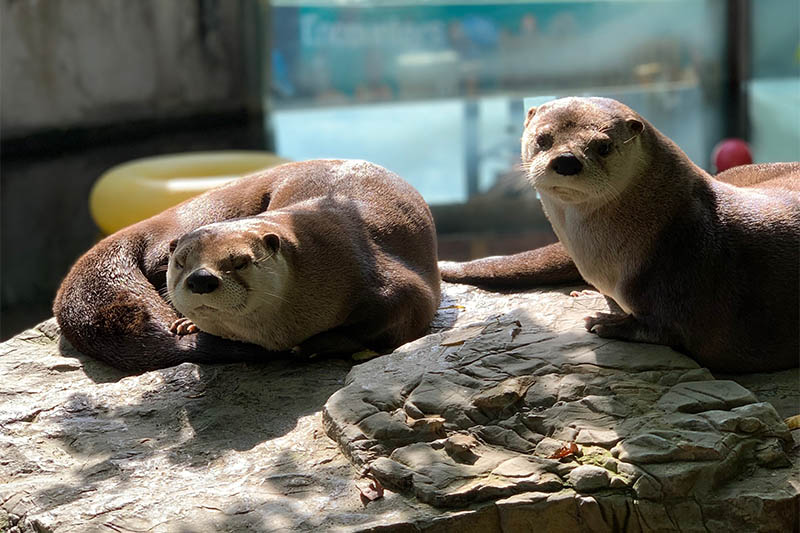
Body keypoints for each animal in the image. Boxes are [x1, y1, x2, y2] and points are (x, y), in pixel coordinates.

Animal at [54, 160, 440, 372]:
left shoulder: (390, 284)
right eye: (182, 262)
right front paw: (187, 326)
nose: (201, 279)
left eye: (239, 261)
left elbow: (392, 320)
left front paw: (318, 344)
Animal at [440, 97, 799, 373]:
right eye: (543, 139)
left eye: (603, 146)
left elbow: (669, 329)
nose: (566, 160)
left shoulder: (692, 272)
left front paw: (609, 323)